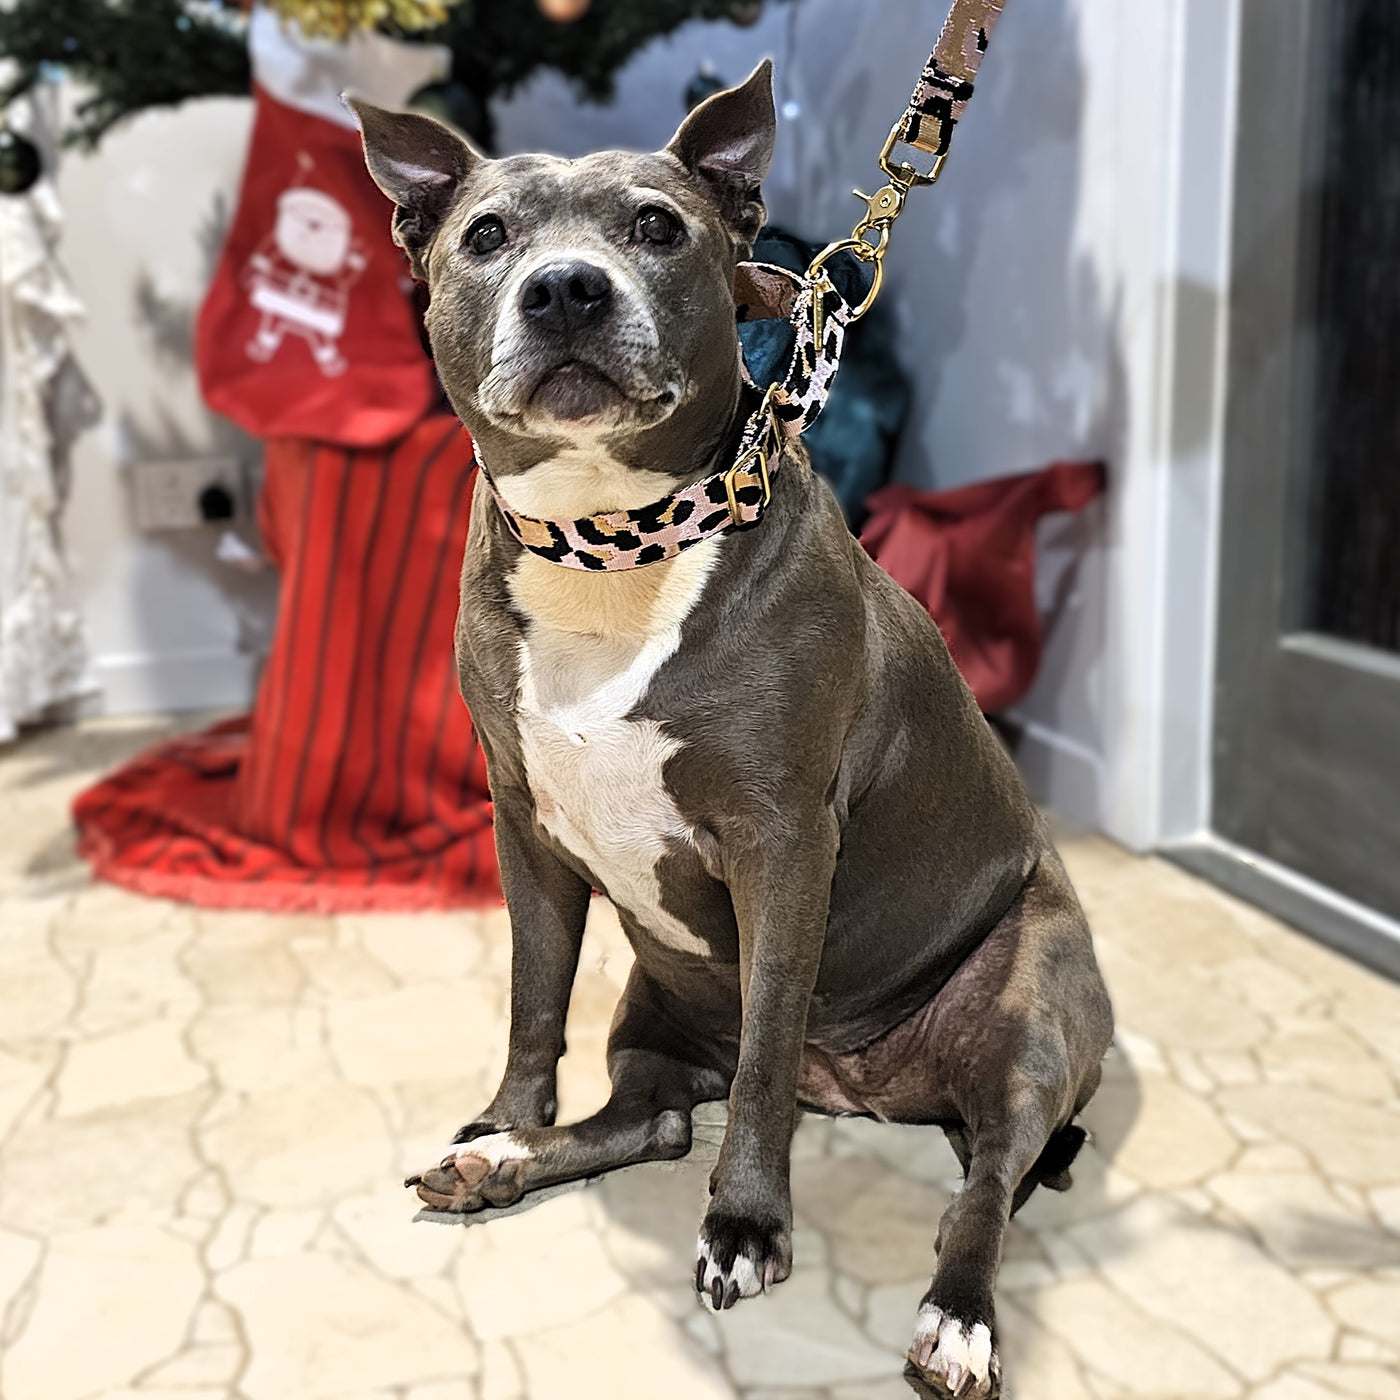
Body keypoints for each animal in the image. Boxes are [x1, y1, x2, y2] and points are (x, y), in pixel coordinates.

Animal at [352, 60, 1114, 1394]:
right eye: (485, 237)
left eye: (658, 227)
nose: (564, 288)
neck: (611, 543)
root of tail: (858, 1084)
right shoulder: (525, 831)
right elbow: (531, 999)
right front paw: (505, 1120)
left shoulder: (780, 845)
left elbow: (760, 1060)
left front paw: (747, 1224)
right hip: (650, 999)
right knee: (651, 1118)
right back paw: (504, 1162)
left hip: (1026, 1009)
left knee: (984, 1177)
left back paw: (956, 1316)